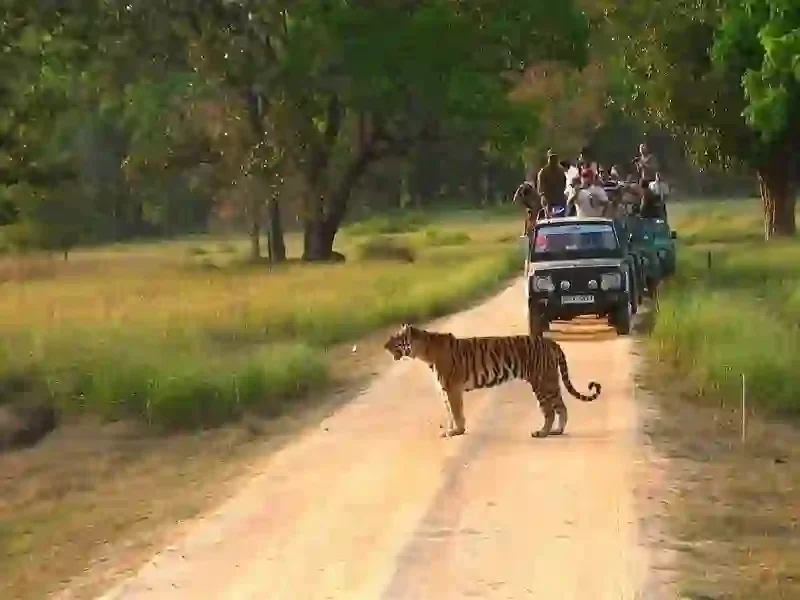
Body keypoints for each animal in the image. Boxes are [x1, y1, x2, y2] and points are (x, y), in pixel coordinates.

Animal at [383, 324, 602, 439]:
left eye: (395, 339)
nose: (384, 346)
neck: (424, 352)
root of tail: (550, 341)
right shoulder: (444, 391)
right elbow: (449, 413)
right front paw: (450, 430)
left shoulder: (452, 389)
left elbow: (456, 412)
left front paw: (457, 431)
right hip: (550, 381)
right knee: (561, 407)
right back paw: (557, 430)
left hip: (542, 382)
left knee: (550, 410)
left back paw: (542, 432)